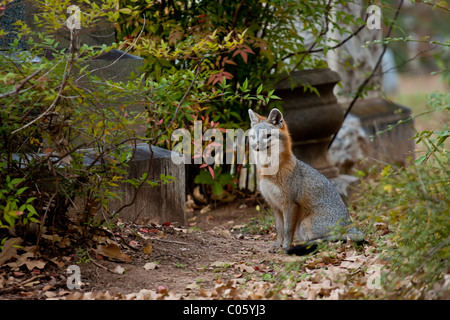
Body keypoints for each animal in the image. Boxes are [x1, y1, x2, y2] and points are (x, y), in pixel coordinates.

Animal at [248, 107, 364, 255]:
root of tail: (350, 225)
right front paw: (276, 246)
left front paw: (285, 247)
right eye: (253, 136)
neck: (269, 171)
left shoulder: (290, 204)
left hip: (304, 225)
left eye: (267, 136)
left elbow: (287, 230)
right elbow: (279, 230)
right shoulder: (275, 205)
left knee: (328, 241)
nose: (255, 146)